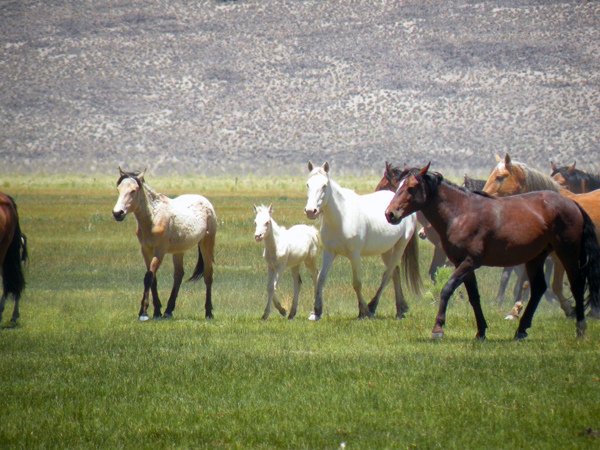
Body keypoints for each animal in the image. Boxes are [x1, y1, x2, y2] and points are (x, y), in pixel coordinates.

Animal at [111, 168, 217, 320]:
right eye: (118, 189)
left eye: (133, 190)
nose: (117, 213)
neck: (153, 219)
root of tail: (205, 201)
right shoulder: (146, 251)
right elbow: (152, 278)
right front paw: (157, 311)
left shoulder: (159, 251)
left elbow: (148, 277)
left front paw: (143, 313)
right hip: (179, 250)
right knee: (178, 274)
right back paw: (168, 310)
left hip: (207, 244)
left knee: (208, 275)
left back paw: (208, 312)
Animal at [304, 162, 422, 320]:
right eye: (308, 184)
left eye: (324, 185)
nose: (311, 211)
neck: (342, 217)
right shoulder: (329, 252)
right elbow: (320, 278)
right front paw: (316, 311)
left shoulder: (355, 255)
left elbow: (357, 283)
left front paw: (362, 310)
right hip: (386, 249)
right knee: (394, 272)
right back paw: (400, 309)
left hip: (400, 246)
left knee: (387, 275)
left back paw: (373, 307)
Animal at [384, 163, 600, 340]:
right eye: (398, 186)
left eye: (411, 188)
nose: (390, 214)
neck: (461, 213)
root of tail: (572, 204)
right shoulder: (462, 263)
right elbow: (473, 297)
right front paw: (481, 331)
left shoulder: (470, 262)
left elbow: (447, 288)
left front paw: (438, 328)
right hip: (536, 258)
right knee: (538, 288)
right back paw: (521, 329)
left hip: (567, 254)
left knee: (576, 286)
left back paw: (580, 327)